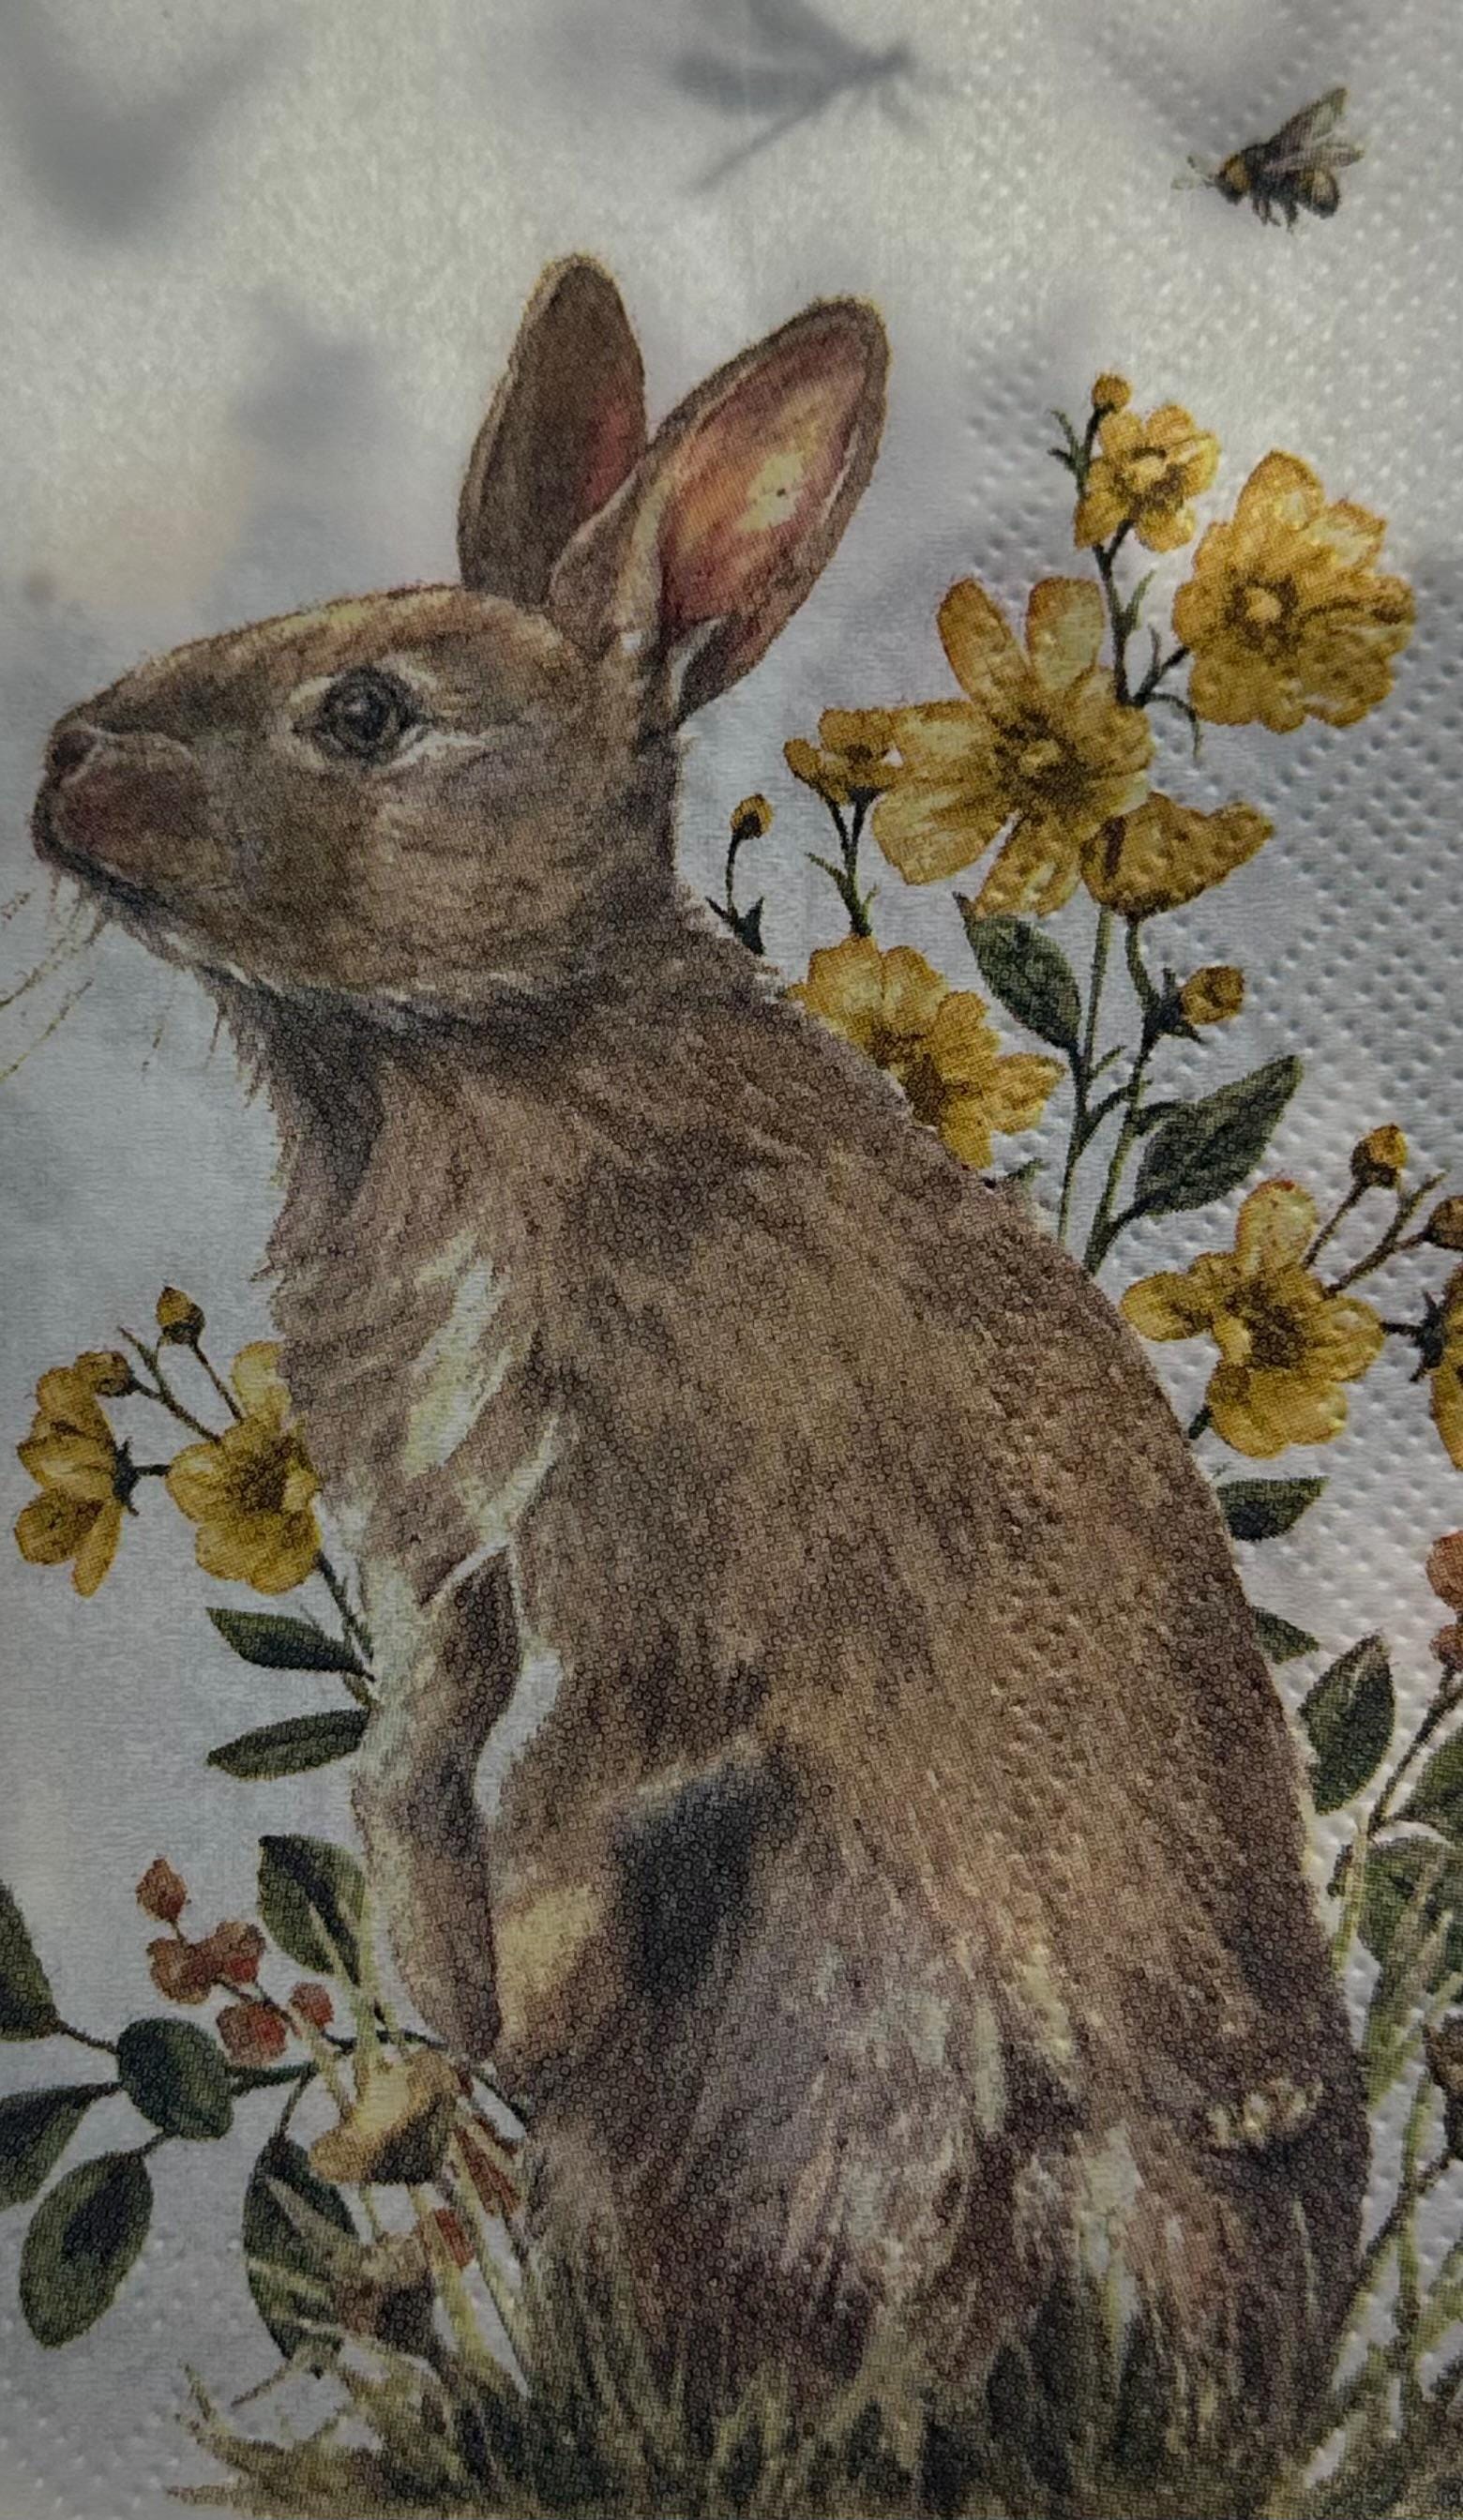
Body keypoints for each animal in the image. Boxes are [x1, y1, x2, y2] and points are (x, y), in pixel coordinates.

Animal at [33, 256, 1364, 2511]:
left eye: (369, 715)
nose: (55, 763)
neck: (474, 1054)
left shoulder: (667, 1572)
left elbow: (568, 1781)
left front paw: (522, 2016)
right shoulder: (446, 1564)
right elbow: (412, 1766)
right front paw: (436, 2041)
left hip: (1092, 2187)